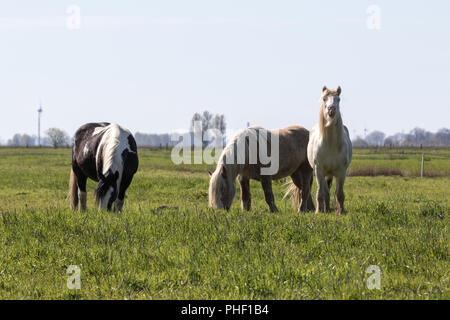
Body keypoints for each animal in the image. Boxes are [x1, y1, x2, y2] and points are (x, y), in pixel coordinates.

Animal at [308, 86, 354, 214]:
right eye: (324, 99)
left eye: (338, 99)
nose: (331, 109)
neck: (330, 145)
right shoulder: (319, 170)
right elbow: (321, 193)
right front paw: (319, 211)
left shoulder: (341, 171)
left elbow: (339, 194)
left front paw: (341, 211)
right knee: (325, 191)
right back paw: (326, 209)